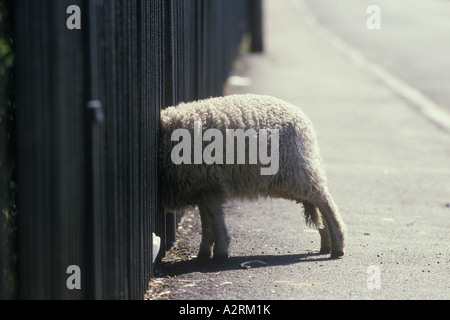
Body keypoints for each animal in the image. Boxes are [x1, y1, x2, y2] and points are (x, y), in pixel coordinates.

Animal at [160, 94, 346, 258]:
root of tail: (302, 118)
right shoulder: (203, 188)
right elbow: (206, 220)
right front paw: (205, 252)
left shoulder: (211, 185)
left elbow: (215, 218)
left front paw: (220, 251)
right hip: (293, 175)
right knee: (317, 203)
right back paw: (326, 245)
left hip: (297, 169)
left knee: (325, 201)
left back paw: (337, 246)